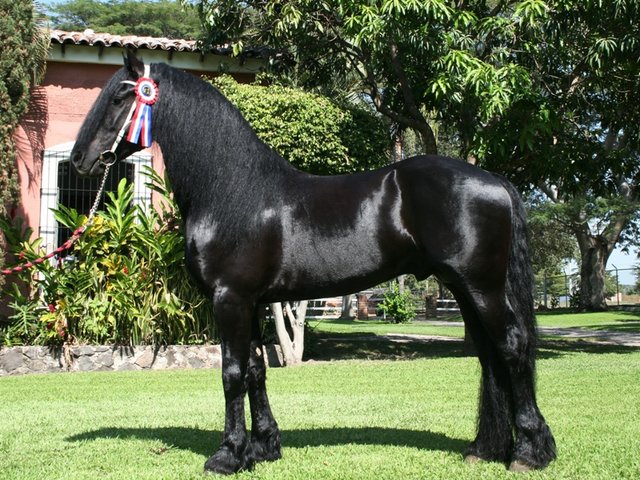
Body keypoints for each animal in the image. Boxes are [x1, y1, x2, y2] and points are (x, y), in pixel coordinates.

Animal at [71, 51, 556, 472]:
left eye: (120, 97)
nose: (78, 160)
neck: (232, 191)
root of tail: (494, 180)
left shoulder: (230, 298)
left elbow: (232, 373)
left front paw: (227, 455)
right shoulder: (253, 302)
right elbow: (256, 369)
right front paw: (263, 448)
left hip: (482, 287)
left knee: (512, 347)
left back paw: (528, 453)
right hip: (463, 288)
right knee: (490, 356)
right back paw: (485, 449)